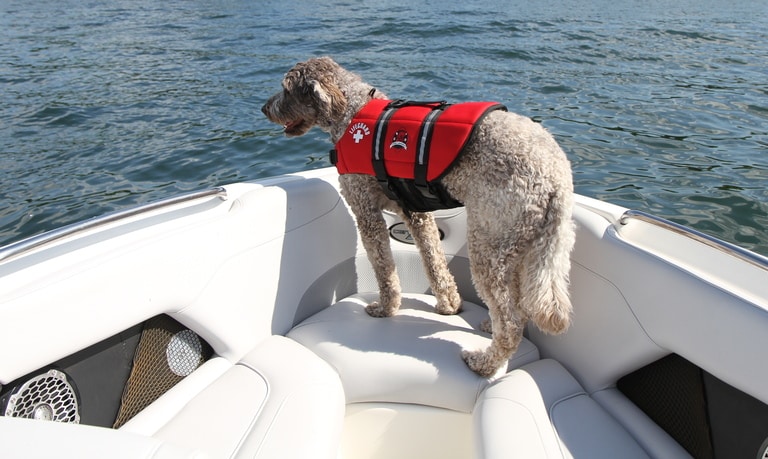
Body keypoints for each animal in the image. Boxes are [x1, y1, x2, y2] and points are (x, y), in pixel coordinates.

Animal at [260, 55, 572, 378]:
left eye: (286, 89)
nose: (264, 108)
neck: (351, 111)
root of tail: (557, 178)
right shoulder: (415, 212)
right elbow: (435, 263)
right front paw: (449, 305)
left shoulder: (366, 211)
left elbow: (384, 269)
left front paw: (386, 309)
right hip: (522, 246)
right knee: (518, 307)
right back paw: (489, 327)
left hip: (489, 244)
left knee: (510, 322)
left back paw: (483, 363)